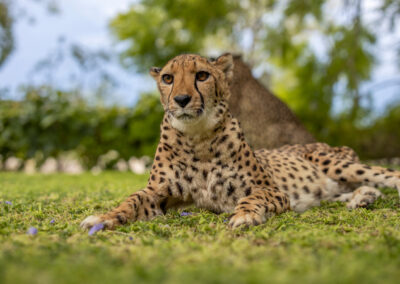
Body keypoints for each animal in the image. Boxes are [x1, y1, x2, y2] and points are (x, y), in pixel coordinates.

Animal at [79, 53, 398, 230]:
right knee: (341, 192)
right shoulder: (160, 193)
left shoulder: (273, 190)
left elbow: (251, 197)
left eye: (202, 75)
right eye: (168, 78)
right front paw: (104, 218)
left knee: (388, 175)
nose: (181, 99)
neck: (198, 138)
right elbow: (131, 200)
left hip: (333, 163)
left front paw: (244, 216)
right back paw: (363, 197)